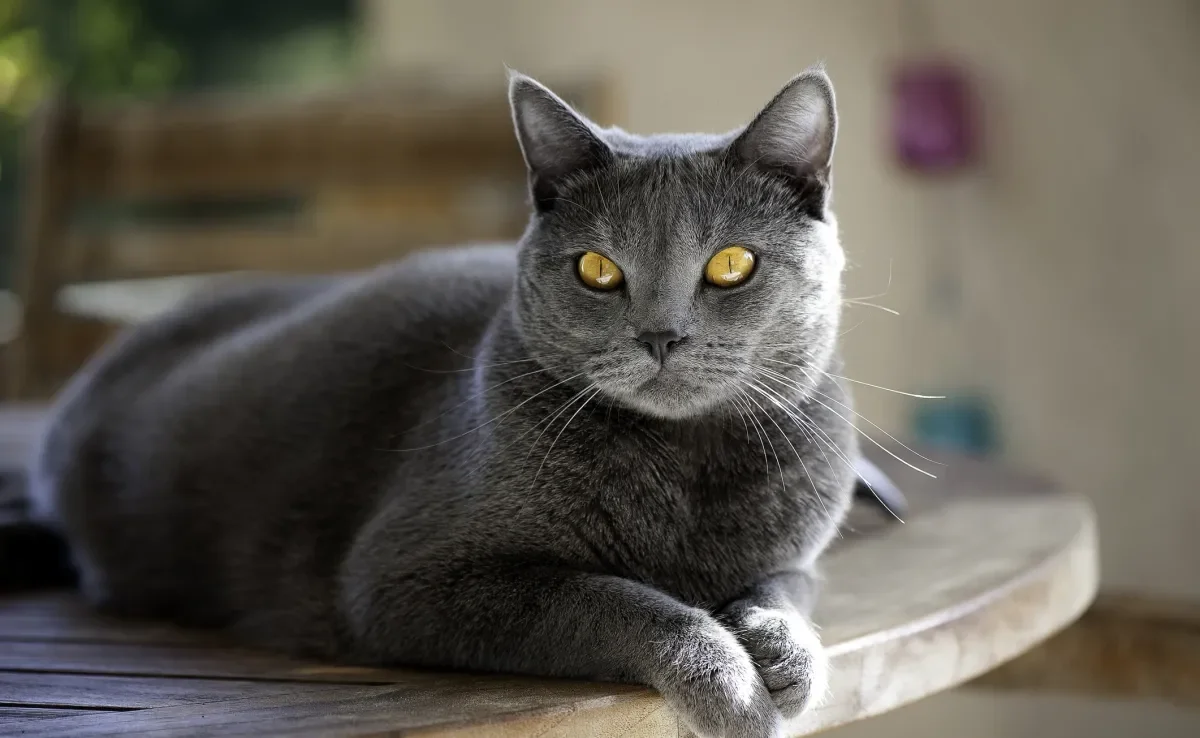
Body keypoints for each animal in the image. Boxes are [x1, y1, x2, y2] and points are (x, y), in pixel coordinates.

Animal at [30, 67, 864, 734]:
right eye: (596, 270)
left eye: (731, 264)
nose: (661, 336)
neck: (687, 467)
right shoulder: (406, 581)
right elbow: (616, 599)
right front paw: (729, 686)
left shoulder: (798, 549)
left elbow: (790, 586)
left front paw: (786, 652)